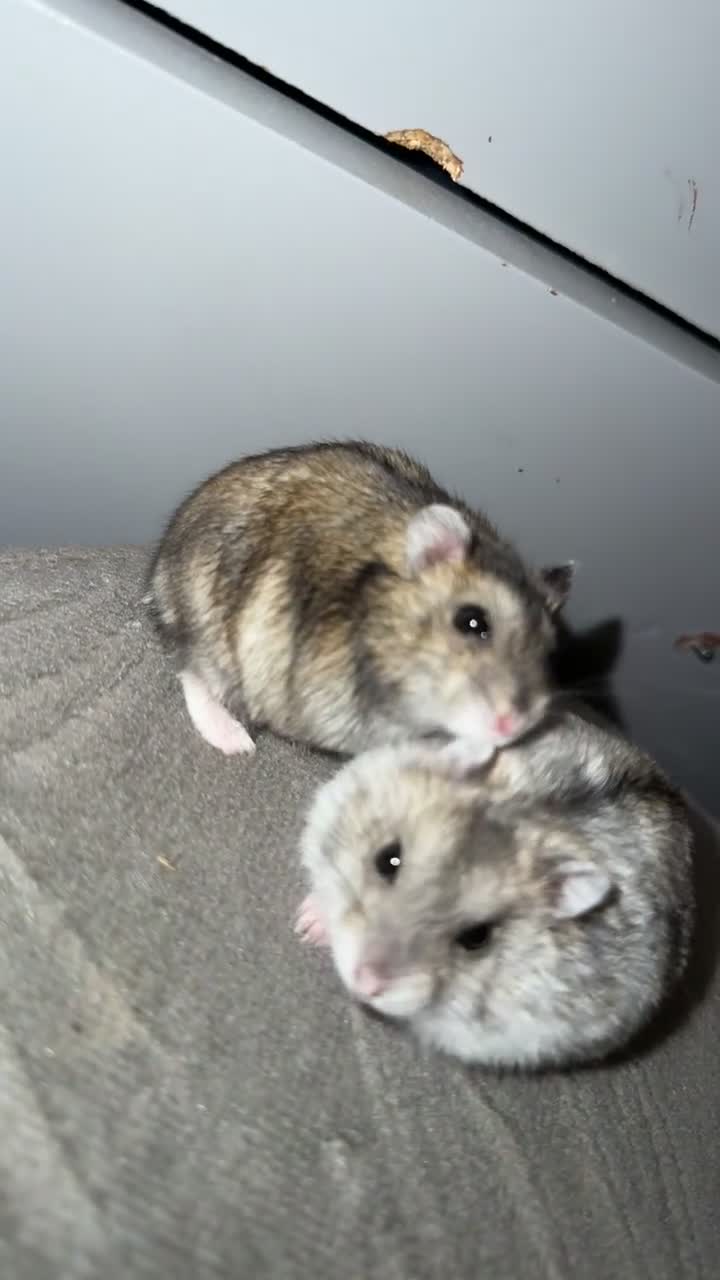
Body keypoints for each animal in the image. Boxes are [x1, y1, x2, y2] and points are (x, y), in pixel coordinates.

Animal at [147, 441, 573, 758]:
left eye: (549, 651)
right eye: (472, 621)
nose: (513, 726)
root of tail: (161, 566)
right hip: (209, 631)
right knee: (192, 675)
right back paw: (237, 743)